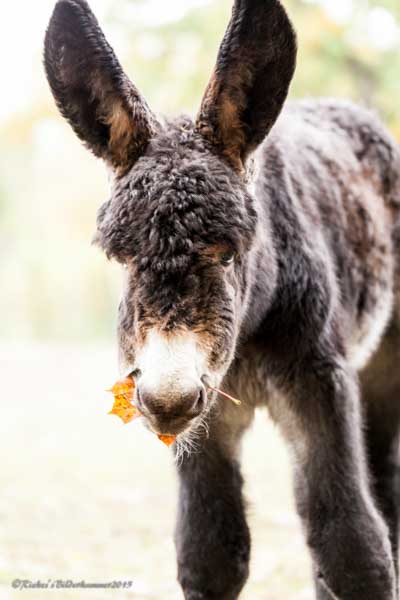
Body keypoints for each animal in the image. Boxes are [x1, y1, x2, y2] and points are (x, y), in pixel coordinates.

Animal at [44, 1, 400, 600]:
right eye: (121, 260)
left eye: (230, 253)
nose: (166, 401)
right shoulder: (206, 418)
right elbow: (210, 551)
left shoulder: (320, 380)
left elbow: (351, 544)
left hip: (380, 365)